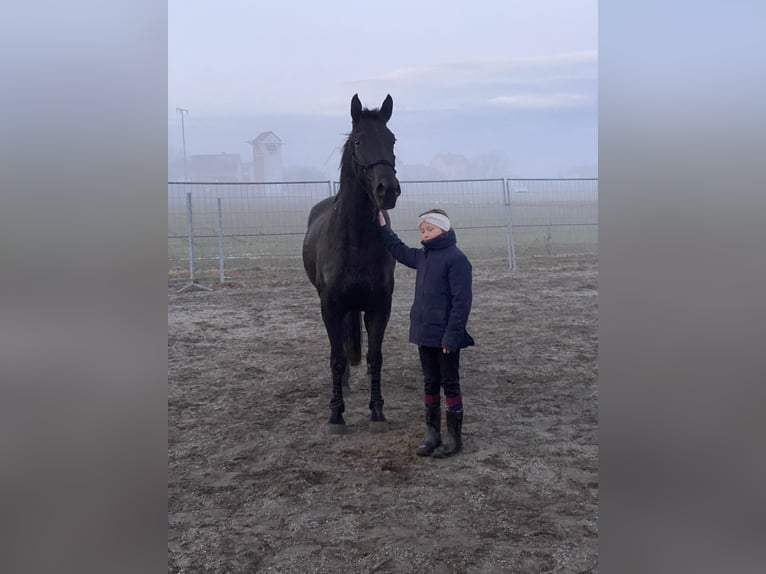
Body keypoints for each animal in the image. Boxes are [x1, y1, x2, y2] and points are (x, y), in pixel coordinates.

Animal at [302, 94, 401, 434]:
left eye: (392, 139)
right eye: (358, 141)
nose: (388, 190)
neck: (354, 238)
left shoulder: (379, 306)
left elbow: (375, 356)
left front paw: (378, 412)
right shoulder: (330, 306)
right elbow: (336, 358)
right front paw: (336, 415)